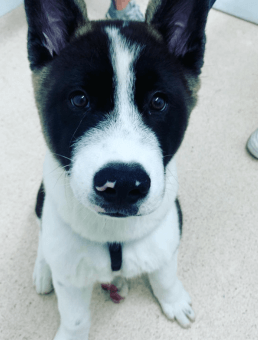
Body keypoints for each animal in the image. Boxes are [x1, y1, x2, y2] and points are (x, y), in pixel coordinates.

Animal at [23, 0, 214, 338]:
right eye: (79, 99)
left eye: (158, 102)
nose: (122, 185)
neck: (115, 238)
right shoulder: (70, 277)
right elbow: (75, 318)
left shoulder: (166, 240)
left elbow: (165, 276)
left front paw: (173, 300)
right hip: (41, 199)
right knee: (43, 233)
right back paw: (43, 269)